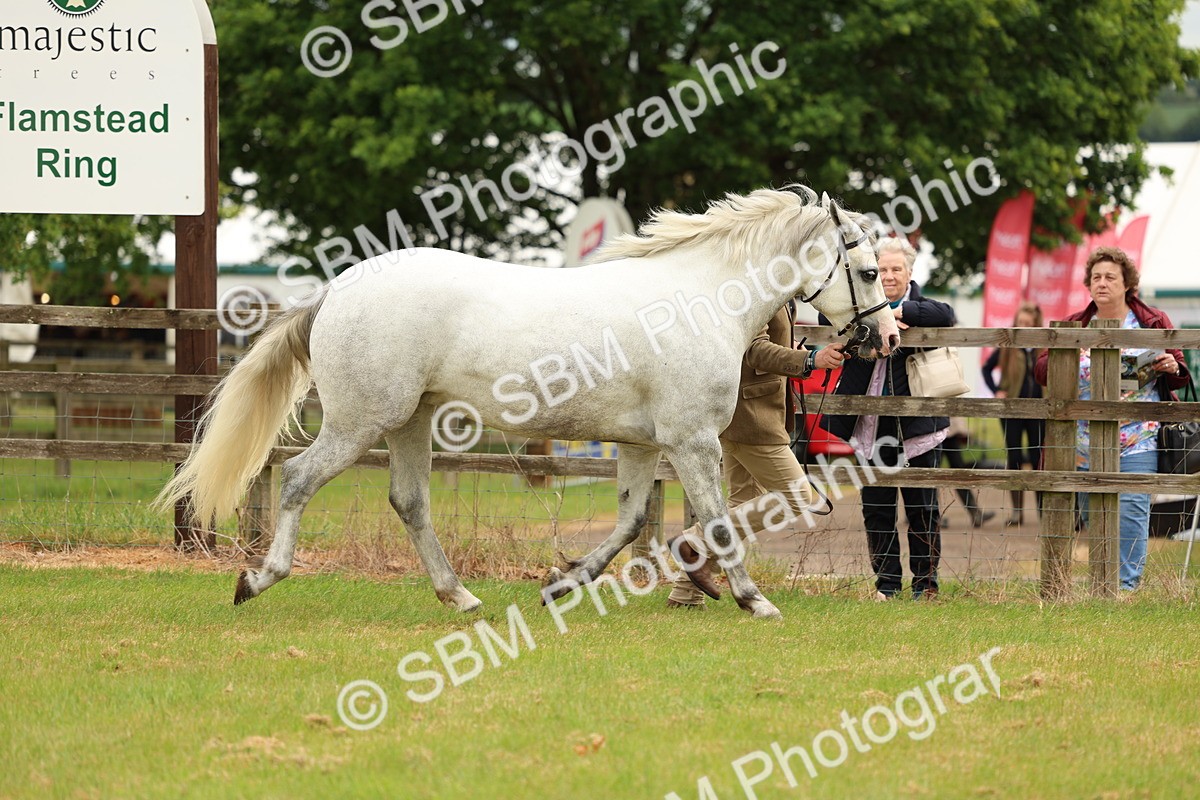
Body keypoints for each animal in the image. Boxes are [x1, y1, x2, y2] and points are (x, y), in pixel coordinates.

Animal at [155, 187, 900, 619]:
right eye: (867, 271)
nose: (887, 337)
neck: (699, 300)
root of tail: (337, 289)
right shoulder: (691, 442)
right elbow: (716, 522)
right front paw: (754, 600)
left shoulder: (642, 445)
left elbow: (631, 522)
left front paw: (561, 583)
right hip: (361, 420)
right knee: (299, 478)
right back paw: (258, 580)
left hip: (410, 421)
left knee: (409, 502)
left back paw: (459, 595)